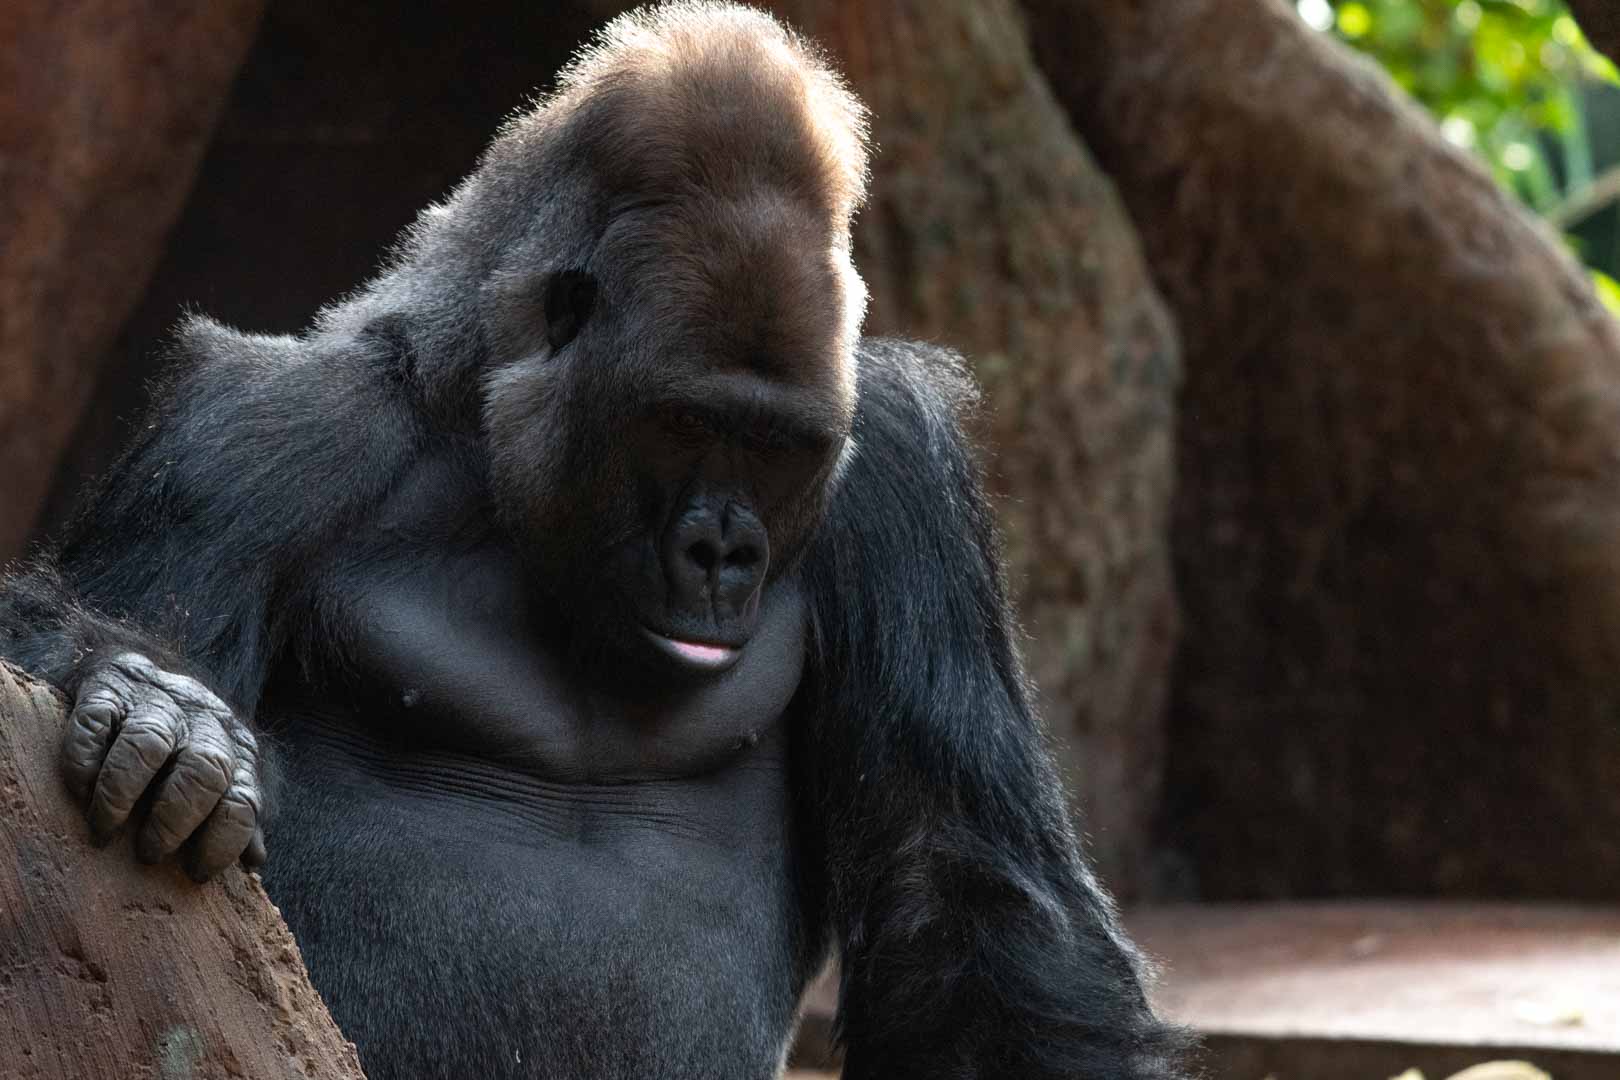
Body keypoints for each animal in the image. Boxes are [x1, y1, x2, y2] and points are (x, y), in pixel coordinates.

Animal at [0, 4, 1189, 1078]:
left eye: (778, 449)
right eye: (685, 424)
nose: (725, 555)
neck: (486, 417)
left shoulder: (900, 476)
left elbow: (972, 912)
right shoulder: (256, 430)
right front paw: (146, 697)